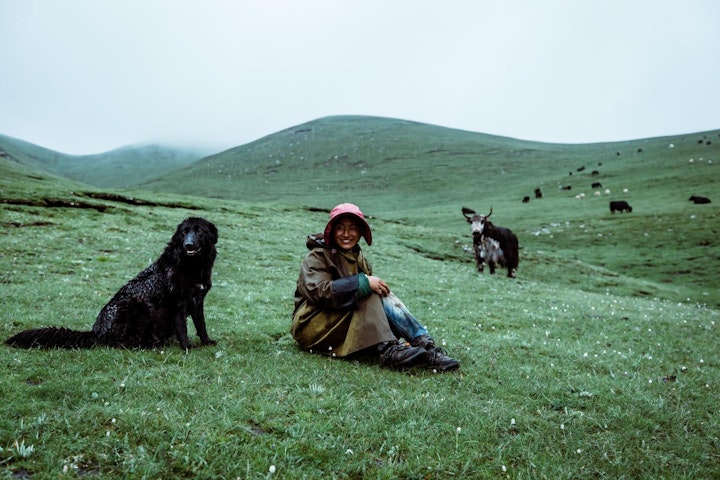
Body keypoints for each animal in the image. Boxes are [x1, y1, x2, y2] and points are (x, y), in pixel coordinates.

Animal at [5, 217, 218, 348]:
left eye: (199, 231)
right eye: (184, 232)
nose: (188, 244)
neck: (192, 266)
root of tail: (95, 332)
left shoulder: (197, 301)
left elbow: (201, 325)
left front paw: (207, 342)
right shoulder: (177, 303)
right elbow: (183, 328)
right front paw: (187, 347)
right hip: (139, 307)